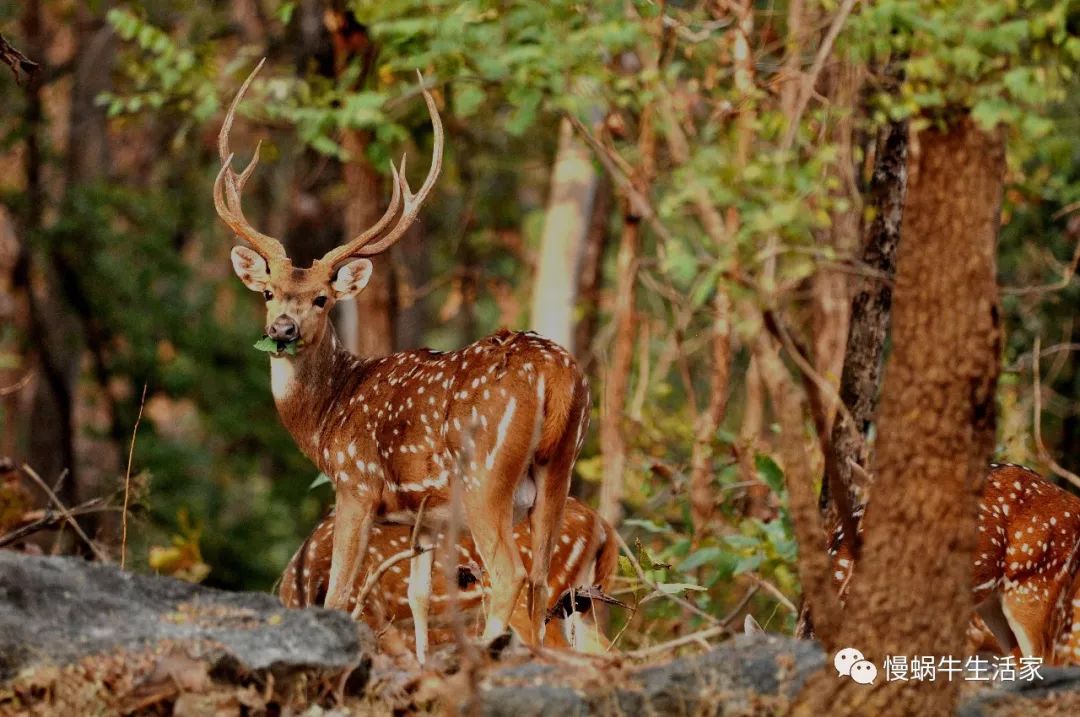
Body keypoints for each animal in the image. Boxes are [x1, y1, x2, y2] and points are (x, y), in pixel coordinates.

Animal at [216, 61, 591, 643]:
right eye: (268, 292)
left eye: (322, 298)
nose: (282, 328)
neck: (325, 420)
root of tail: (555, 373)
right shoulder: (426, 519)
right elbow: (416, 597)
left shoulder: (356, 485)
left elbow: (340, 594)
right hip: (560, 466)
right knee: (540, 582)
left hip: (485, 476)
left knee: (509, 574)